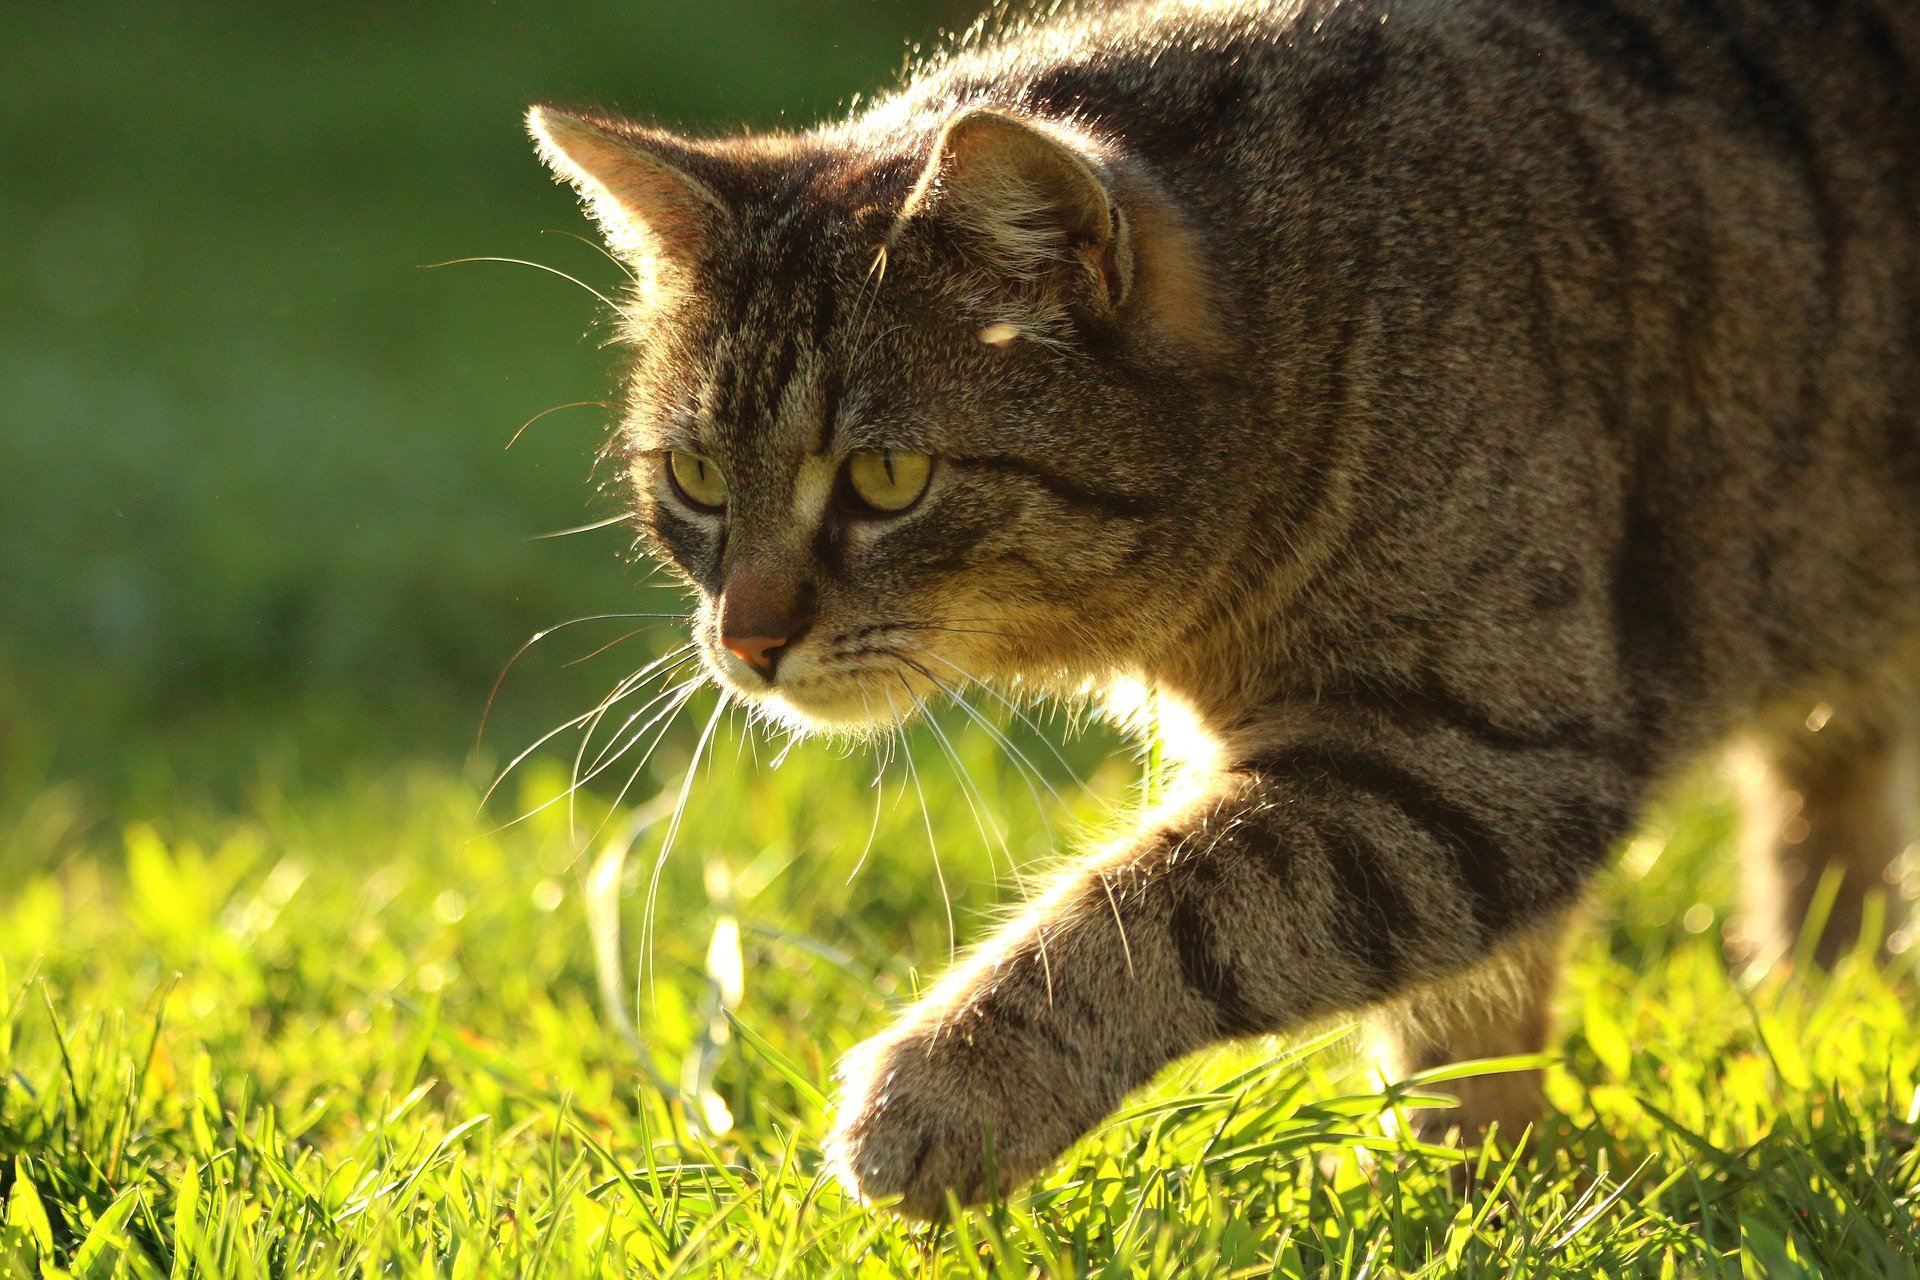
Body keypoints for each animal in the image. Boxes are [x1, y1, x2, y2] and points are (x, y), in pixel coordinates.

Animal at [526, 0, 1920, 1220]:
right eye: (695, 475)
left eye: (885, 477)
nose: (746, 642)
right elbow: (1463, 1013)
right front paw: (1470, 1188)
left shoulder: (1482, 751)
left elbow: (1161, 908)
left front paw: (947, 1085)